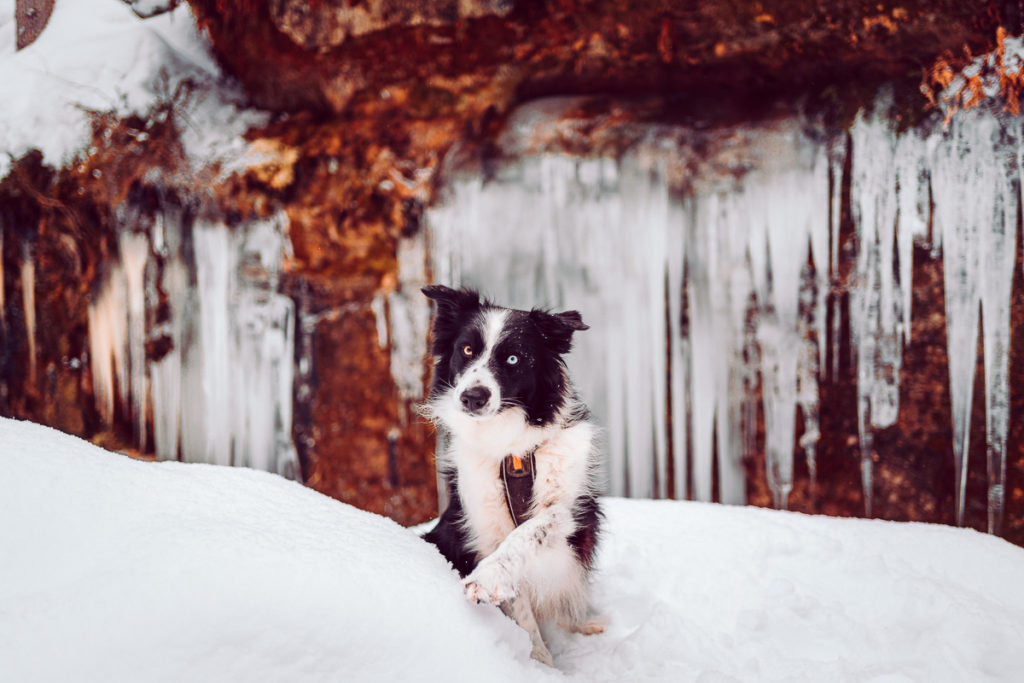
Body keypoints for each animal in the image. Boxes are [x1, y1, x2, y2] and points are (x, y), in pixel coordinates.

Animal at [417, 286, 602, 663]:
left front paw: (487, 578)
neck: (512, 450)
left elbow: (528, 533)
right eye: (467, 350)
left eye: (514, 359)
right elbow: (521, 614)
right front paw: (540, 662)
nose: (472, 397)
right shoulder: (482, 528)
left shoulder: (570, 510)